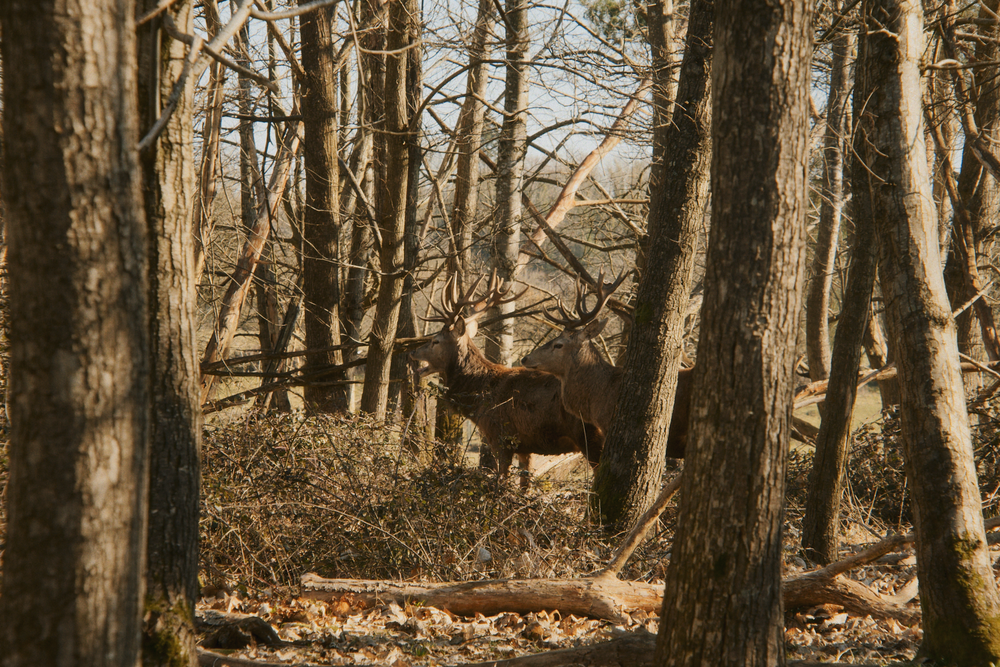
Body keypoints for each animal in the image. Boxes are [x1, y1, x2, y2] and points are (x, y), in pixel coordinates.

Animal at [409, 272, 604, 486]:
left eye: (435, 341)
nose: (413, 352)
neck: (479, 398)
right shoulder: (525, 446)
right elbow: (525, 484)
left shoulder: (501, 437)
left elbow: (502, 479)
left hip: (590, 436)